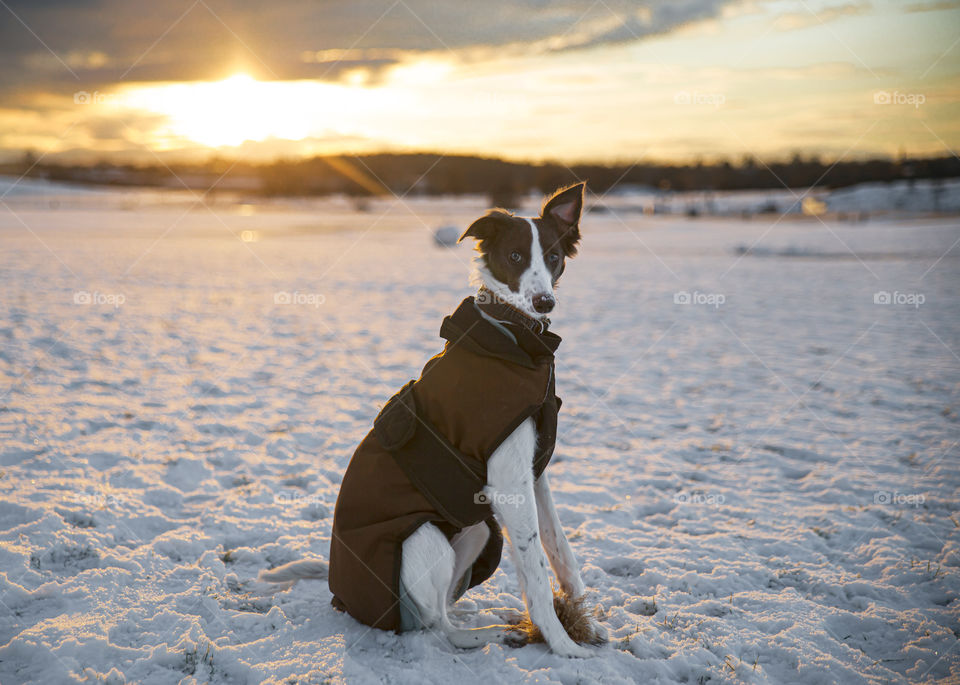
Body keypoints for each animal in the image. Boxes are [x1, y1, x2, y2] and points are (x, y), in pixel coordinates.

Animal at [260, 182, 608, 656]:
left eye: (553, 256)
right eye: (515, 256)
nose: (544, 301)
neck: (512, 335)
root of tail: (342, 599)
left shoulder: (532, 473)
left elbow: (559, 548)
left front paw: (584, 618)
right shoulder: (508, 482)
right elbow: (535, 568)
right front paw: (562, 643)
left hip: (478, 531)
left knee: (441, 611)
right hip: (425, 537)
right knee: (436, 627)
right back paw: (486, 633)